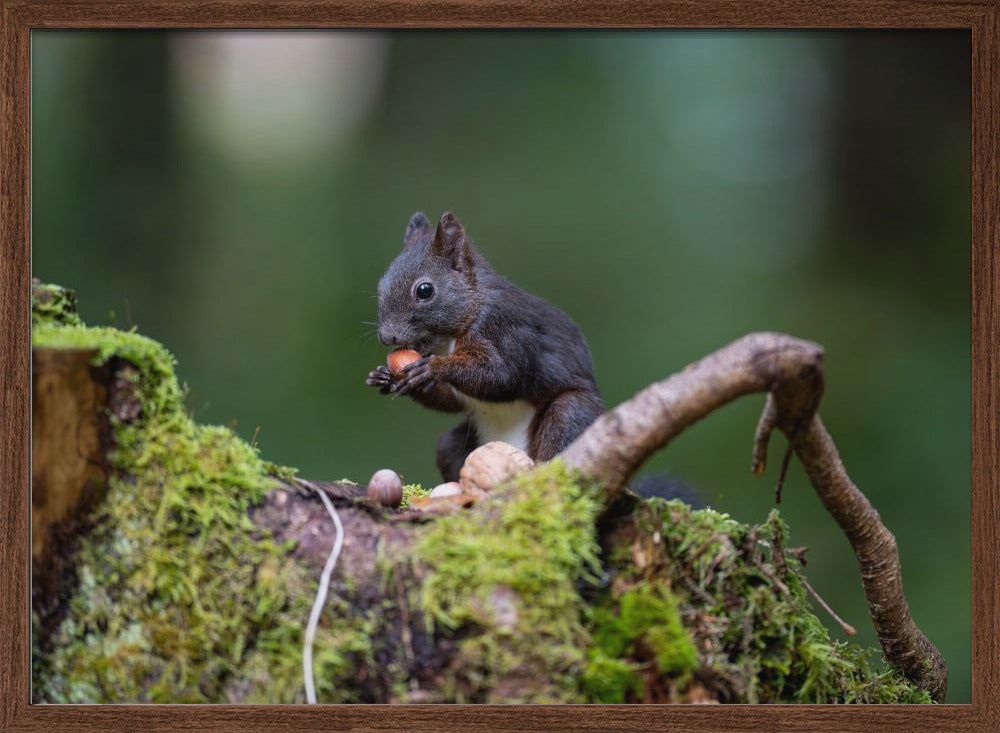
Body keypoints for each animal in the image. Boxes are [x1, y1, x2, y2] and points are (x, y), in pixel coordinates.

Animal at [365, 211, 605, 482]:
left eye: (425, 290)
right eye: (380, 286)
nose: (387, 337)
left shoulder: (505, 327)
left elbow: (504, 376)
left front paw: (434, 368)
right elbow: (452, 401)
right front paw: (385, 376)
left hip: (571, 414)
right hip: (456, 444)